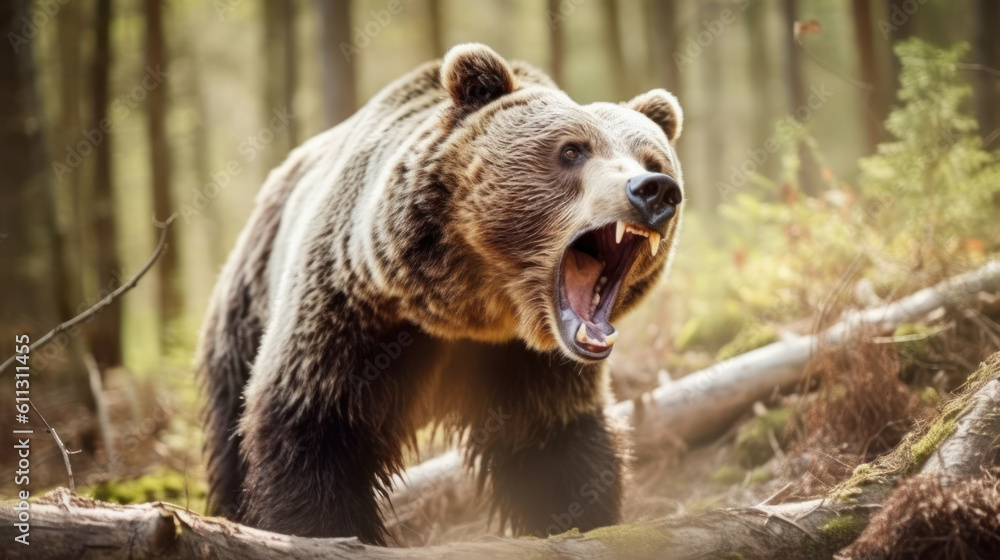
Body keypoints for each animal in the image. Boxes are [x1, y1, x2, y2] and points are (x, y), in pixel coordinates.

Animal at [196, 43, 684, 545]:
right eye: (572, 150)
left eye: (653, 160)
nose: (655, 191)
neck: (469, 310)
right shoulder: (353, 311)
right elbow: (313, 429)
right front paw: (323, 528)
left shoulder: (528, 363)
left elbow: (555, 446)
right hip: (247, 303)